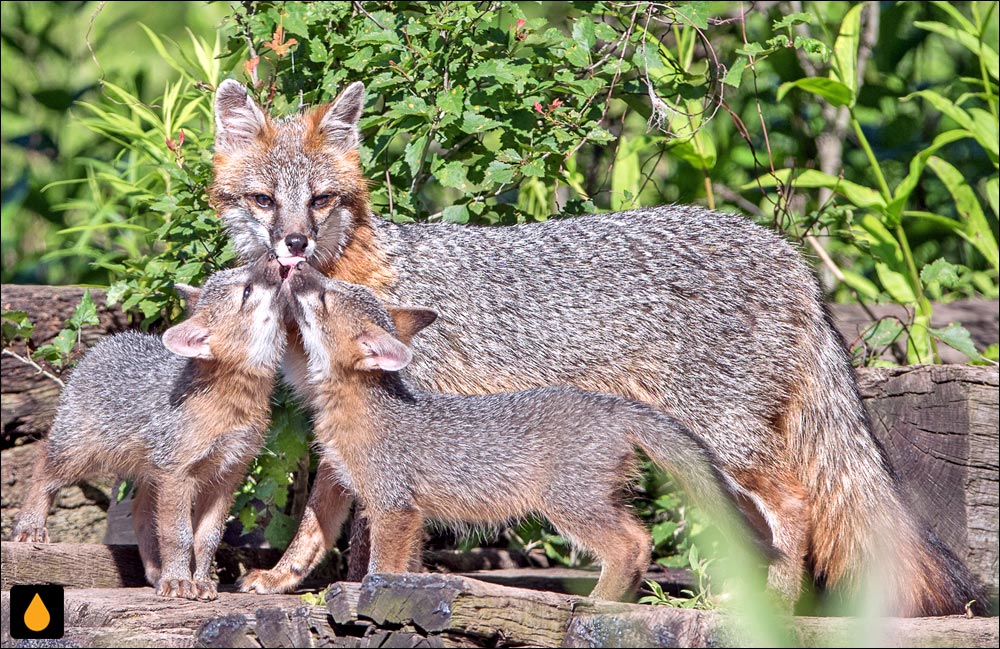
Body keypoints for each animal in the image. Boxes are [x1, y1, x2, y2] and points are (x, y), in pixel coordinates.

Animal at [11, 256, 286, 600]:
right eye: (247, 290)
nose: (274, 256)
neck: (232, 405)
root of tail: (110, 340)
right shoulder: (177, 474)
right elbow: (179, 535)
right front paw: (180, 581)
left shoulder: (226, 476)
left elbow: (207, 538)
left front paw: (200, 581)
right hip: (78, 456)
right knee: (43, 470)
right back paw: (30, 526)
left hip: (149, 472)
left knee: (141, 511)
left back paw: (156, 570)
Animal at [211, 78, 984, 616]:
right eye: (261, 200)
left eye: (320, 200)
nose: (294, 244)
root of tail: (782, 249)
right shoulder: (345, 426)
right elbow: (320, 519)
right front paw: (283, 581)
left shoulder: (395, 417)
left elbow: (376, 528)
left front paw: (372, 590)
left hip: (723, 439)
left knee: (794, 509)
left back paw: (773, 606)